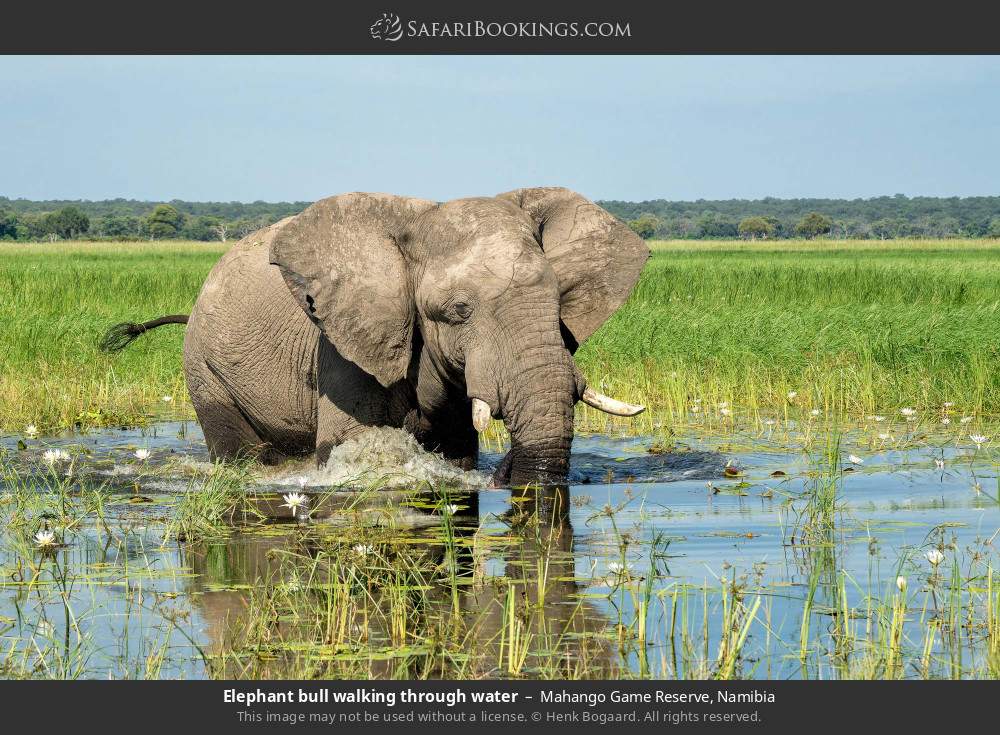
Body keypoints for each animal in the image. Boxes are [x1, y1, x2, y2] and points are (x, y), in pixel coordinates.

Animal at [101, 190, 648, 486]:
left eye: (558, 302)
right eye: (458, 312)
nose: (506, 474)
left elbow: (456, 449)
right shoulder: (343, 347)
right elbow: (356, 445)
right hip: (205, 369)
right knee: (240, 453)